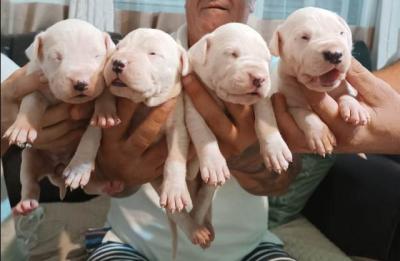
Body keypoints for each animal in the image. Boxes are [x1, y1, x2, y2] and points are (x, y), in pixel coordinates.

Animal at [2, 17, 113, 213]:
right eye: (57, 57)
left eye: (97, 56)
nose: (81, 83)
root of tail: (57, 170)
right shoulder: (36, 83)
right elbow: (31, 103)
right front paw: (22, 128)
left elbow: (92, 134)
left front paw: (77, 169)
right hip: (30, 157)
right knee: (30, 181)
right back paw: (26, 204)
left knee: (91, 186)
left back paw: (104, 184)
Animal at [184, 22, 290, 244]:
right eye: (232, 54)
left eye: (266, 59)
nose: (259, 78)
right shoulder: (191, 101)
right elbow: (204, 133)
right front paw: (214, 163)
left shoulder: (263, 98)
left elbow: (266, 116)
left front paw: (276, 150)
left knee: (203, 198)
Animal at [270, 7, 370, 154]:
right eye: (304, 37)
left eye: (341, 33)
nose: (335, 54)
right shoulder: (290, 99)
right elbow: (304, 113)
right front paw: (321, 134)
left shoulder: (343, 86)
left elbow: (346, 94)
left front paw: (354, 108)